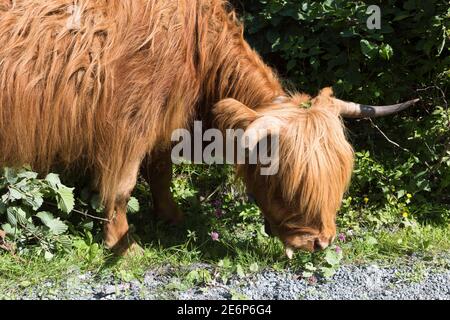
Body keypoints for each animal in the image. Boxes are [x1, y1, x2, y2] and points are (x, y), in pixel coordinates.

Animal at [0, 0, 418, 255]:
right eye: (286, 183)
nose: (320, 243)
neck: (195, 46)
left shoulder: (163, 122)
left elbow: (161, 171)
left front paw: (171, 216)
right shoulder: (129, 122)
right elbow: (121, 188)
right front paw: (124, 244)